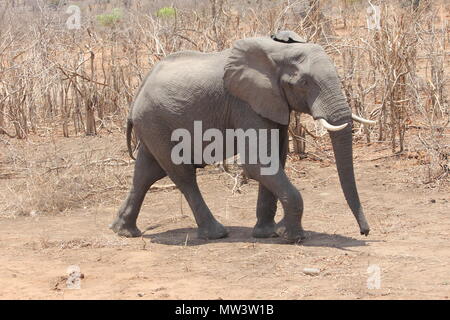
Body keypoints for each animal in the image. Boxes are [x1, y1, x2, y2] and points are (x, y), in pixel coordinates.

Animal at [110, 30, 374, 242]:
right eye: (304, 83)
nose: (365, 232)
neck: (278, 52)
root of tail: (137, 95)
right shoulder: (246, 104)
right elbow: (258, 162)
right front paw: (291, 237)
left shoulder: (272, 103)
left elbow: (276, 159)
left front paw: (268, 233)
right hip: (157, 122)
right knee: (182, 175)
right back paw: (216, 234)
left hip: (153, 124)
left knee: (147, 173)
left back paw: (123, 231)